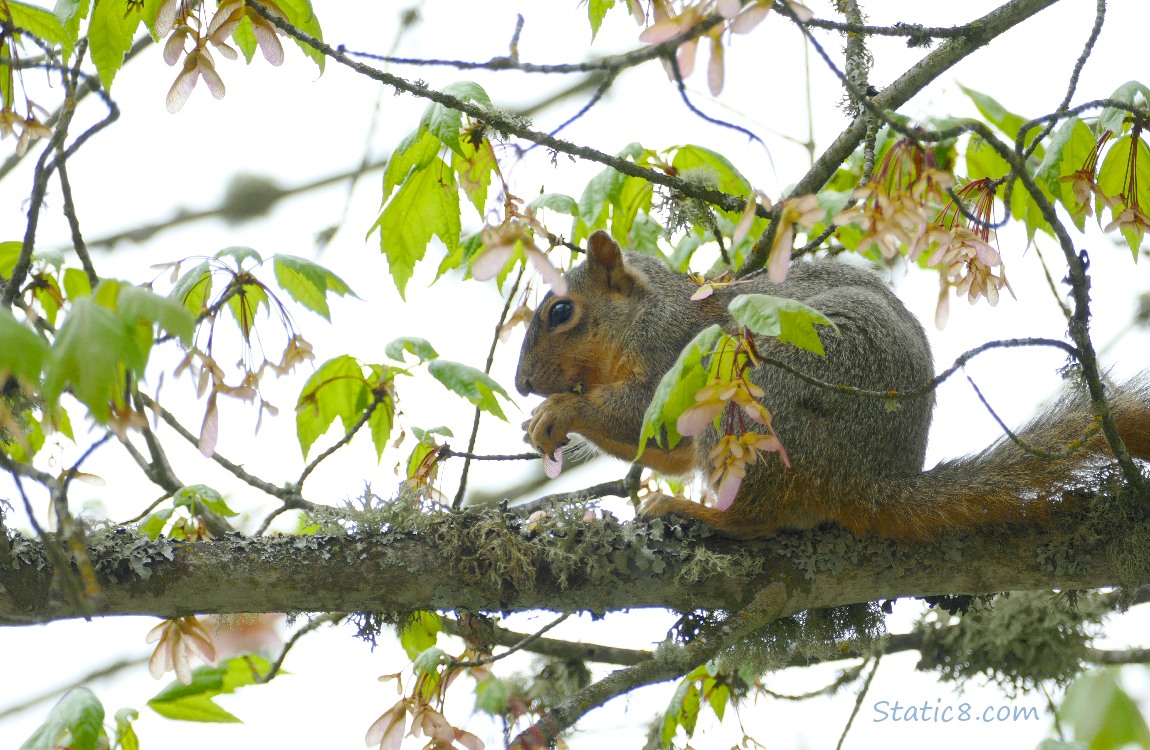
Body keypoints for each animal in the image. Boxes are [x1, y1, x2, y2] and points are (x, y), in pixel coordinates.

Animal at [514, 230, 1150, 540]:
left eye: (561, 311)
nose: (521, 384)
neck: (646, 313)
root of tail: (867, 481)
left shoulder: (673, 353)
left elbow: (649, 417)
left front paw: (556, 414)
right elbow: (666, 452)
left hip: (759, 400)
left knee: (758, 520)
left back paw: (694, 513)